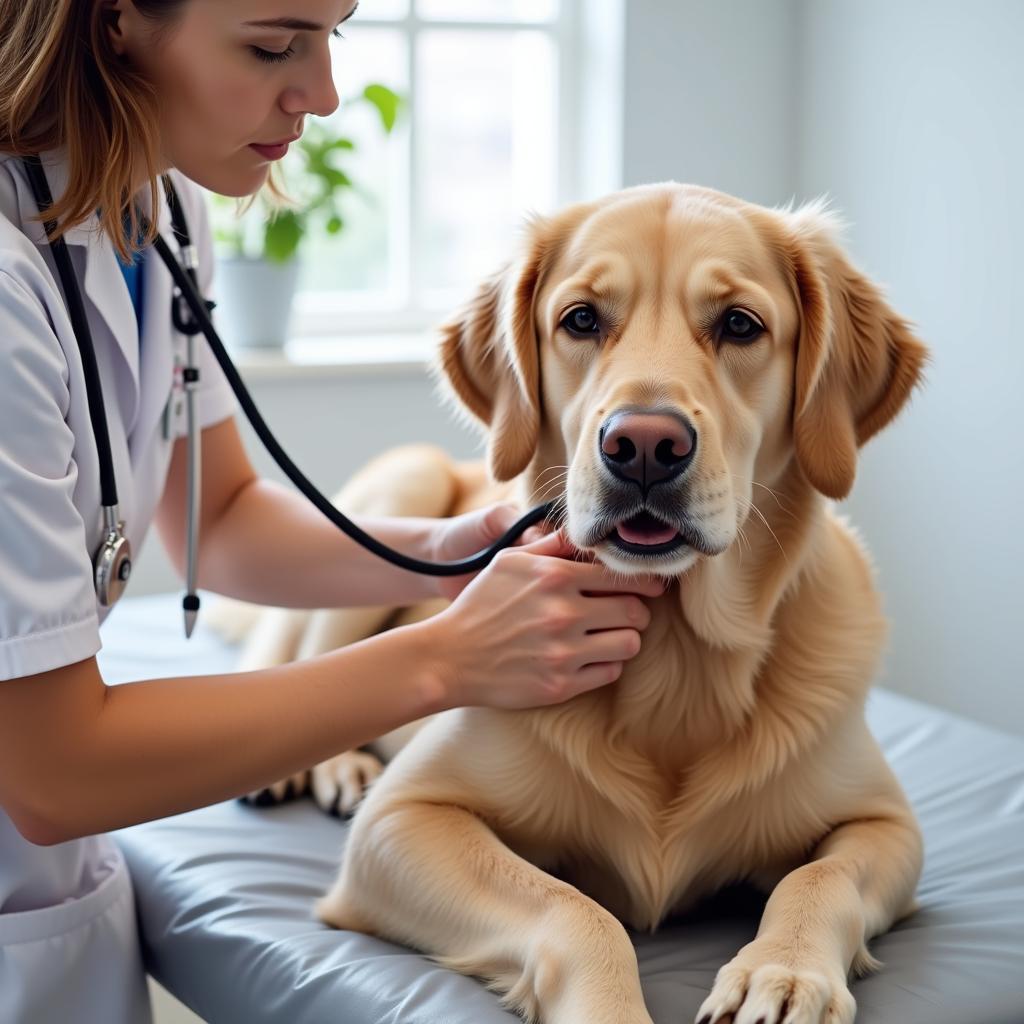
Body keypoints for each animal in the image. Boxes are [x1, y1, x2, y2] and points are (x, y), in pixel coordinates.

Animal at [220, 180, 933, 1019]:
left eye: (740, 325)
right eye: (582, 319)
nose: (645, 446)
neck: (677, 651)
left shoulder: (887, 826)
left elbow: (818, 877)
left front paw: (785, 973)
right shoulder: (399, 822)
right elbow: (576, 910)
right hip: (404, 486)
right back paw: (329, 768)